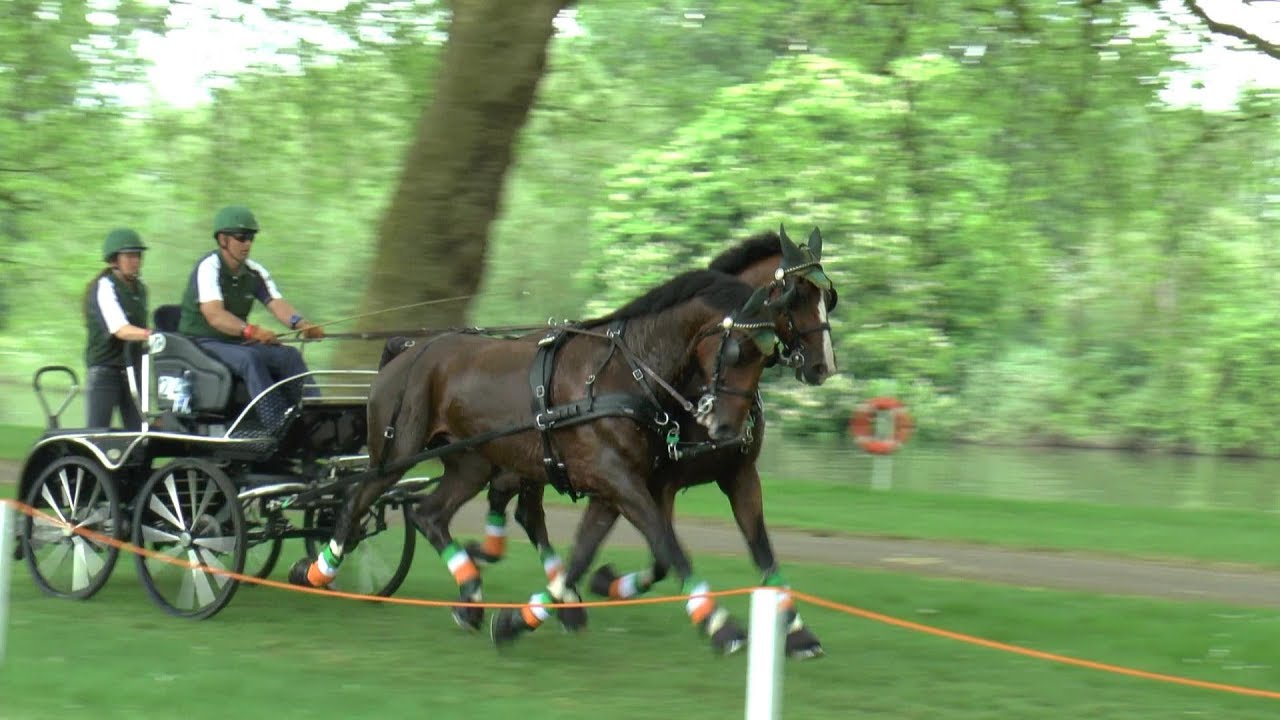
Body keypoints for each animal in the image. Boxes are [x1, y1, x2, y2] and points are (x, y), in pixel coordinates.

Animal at [289, 269, 782, 654]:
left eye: (769, 353)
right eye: (738, 349)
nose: (727, 428)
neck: (621, 375)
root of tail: (407, 349)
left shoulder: (623, 483)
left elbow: (593, 551)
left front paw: (530, 614)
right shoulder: (618, 478)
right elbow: (667, 545)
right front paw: (721, 625)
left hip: (472, 462)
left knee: (429, 514)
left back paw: (471, 593)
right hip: (396, 452)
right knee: (357, 499)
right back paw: (317, 570)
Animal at [474, 226, 838, 658]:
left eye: (829, 297)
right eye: (797, 296)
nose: (823, 365)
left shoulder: (738, 474)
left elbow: (760, 548)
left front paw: (797, 630)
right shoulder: (651, 482)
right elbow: (662, 551)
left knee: (520, 506)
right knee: (511, 502)